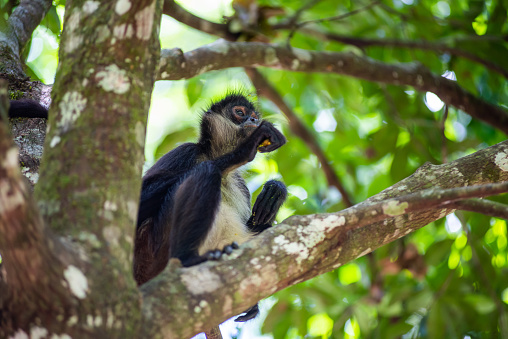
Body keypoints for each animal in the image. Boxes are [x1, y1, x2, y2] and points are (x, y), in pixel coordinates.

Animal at [133, 93, 288, 324]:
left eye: (253, 115)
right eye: (239, 112)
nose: (252, 120)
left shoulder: (240, 184)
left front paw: (275, 192)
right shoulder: (186, 151)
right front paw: (242, 151)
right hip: (152, 251)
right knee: (206, 170)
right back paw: (187, 259)